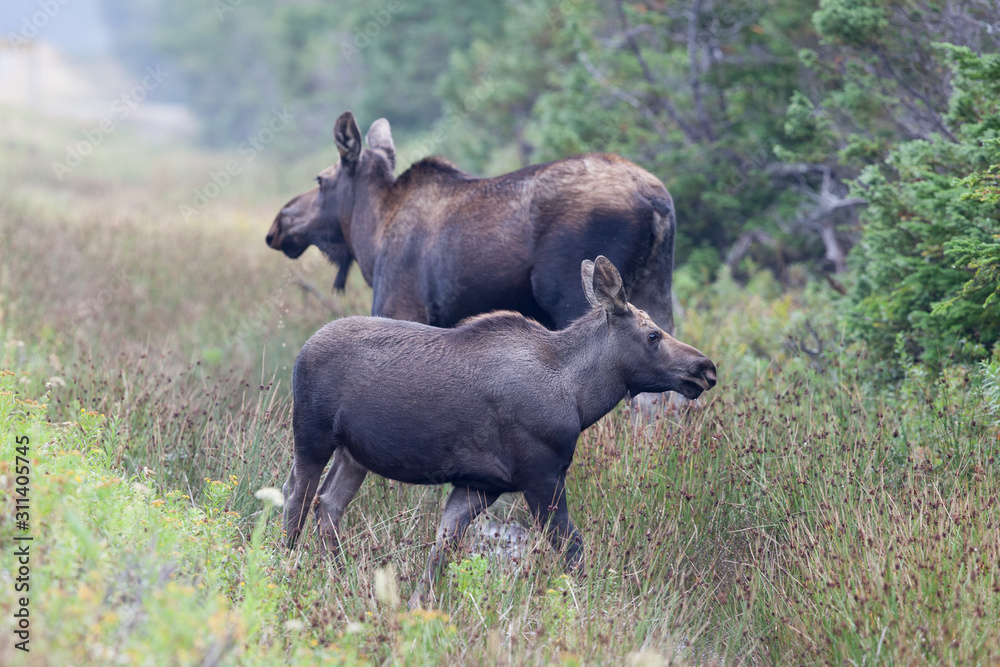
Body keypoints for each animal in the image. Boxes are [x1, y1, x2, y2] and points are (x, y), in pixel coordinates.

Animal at [284, 258, 720, 612]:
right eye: (653, 335)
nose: (706, 368)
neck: (580, 397)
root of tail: (301, 351)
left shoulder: (479, 485)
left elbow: (441, 551)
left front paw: (412, 607)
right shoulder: (541, 477)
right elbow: (573, 551)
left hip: (353, 454)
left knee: (328, 504)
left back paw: (339, 574)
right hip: (312, 436)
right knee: (296, 500)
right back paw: (287, 567)